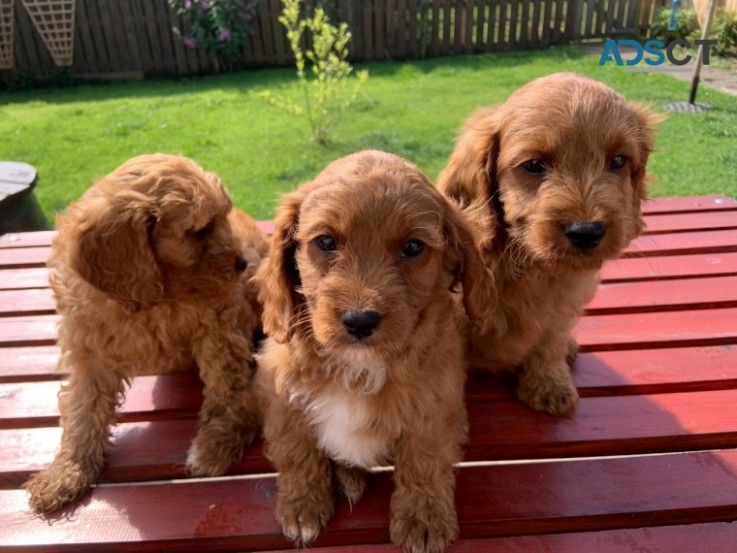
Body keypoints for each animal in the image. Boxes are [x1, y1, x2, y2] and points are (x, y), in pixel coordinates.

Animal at [23, 153, 270, 512]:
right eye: (199, 231)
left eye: (224, 217)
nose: (241, 264)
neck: (156, 295)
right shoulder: (89, 351)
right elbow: (83, 412)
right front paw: (67, 471)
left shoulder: (220, 328)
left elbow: (225, 388)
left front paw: (216, 440)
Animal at [253, 149, 494, 548]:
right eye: (325, 242)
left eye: (412, 247)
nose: (360, 320)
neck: (358, 368)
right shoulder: (282, 394)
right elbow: (296, 451)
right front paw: (301, 506)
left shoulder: (435, 403)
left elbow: (424, 459)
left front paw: (424, 519)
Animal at [436, 71, 660, 414]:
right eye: (533, 165)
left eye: (618, 161)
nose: (586, 231)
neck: (529, 264)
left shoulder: (563, 307)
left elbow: (549, 342)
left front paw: (548, 384)